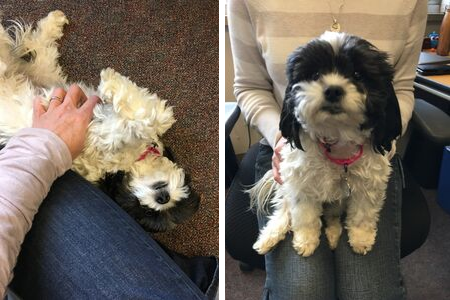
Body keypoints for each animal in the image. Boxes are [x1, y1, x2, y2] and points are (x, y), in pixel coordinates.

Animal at [251, 32, 402, 258]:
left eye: (357, 75)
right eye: (315, 74)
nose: (333, 90)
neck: (337, 139)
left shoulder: (369, 184)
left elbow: (363, 214)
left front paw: (361, 238)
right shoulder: (300, 183)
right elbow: (304, 215)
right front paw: (305, 241)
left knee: (332, 216)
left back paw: (332, 234)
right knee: (284, 208)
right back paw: (270, 236)